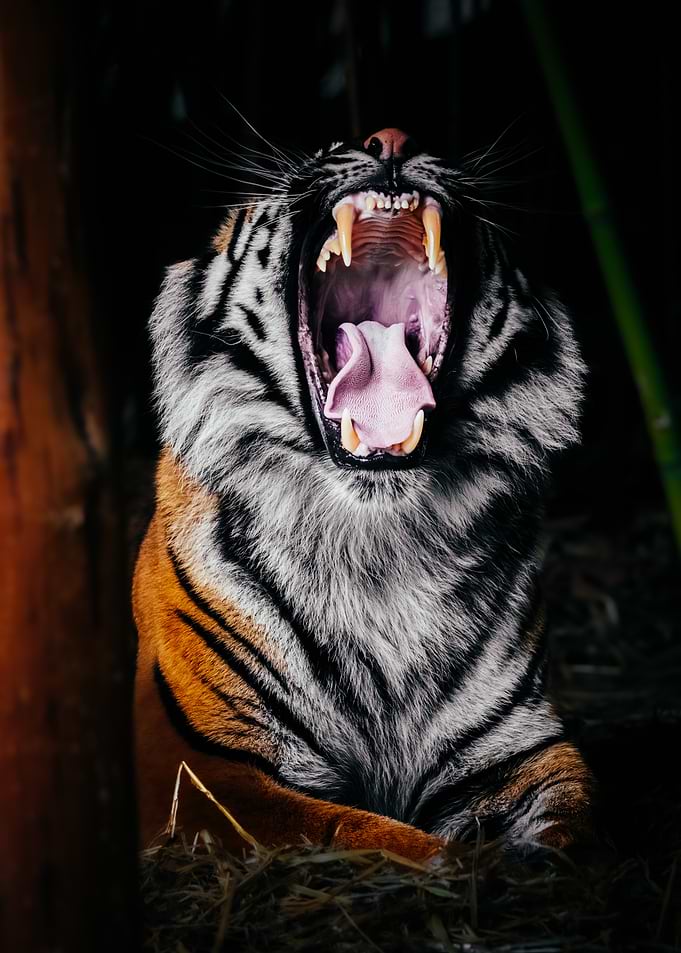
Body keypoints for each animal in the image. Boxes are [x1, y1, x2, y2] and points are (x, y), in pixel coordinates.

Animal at [133, 127, 594, 860]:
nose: (392, 139)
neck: (375, 542)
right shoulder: (197, 769)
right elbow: (363, 830)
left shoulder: (517, 746)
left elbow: (572, 822)